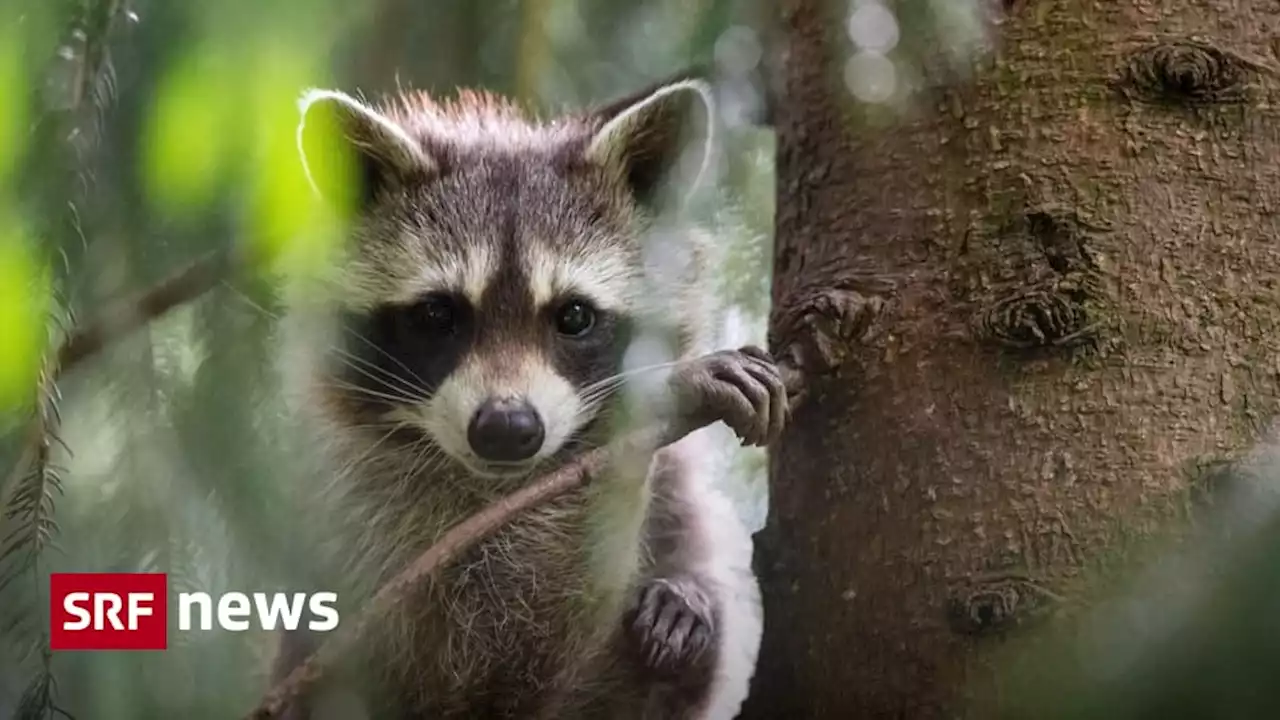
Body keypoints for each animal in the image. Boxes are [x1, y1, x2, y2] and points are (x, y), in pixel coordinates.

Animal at [275, 74, 783, 717]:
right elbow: (490, 647)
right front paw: (653, 405)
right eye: (437, 315)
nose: (507, 429)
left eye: (574, 316)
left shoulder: (679, 495)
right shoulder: (375, 510)